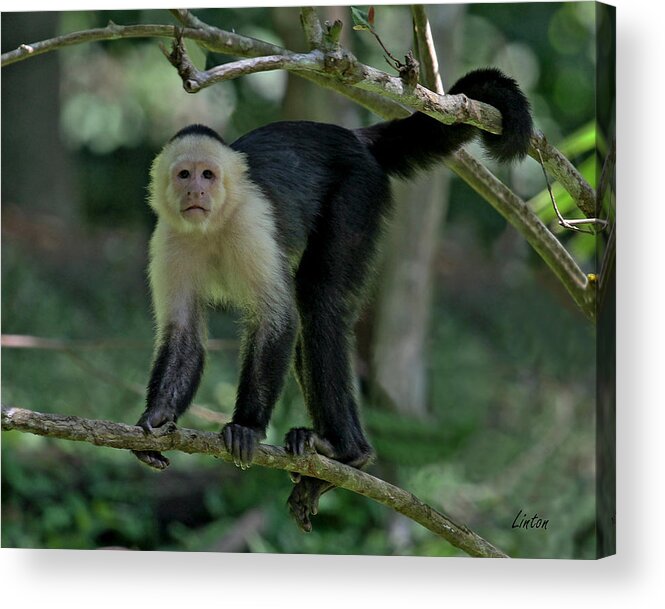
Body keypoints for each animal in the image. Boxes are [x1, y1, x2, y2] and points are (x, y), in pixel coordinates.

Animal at [134, 67, 536, 532]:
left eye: (208, 175)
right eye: (184, 175)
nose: (196, 193)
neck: (212, 225)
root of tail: (354, 136)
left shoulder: (252, 223)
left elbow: (277, 321)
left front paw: (247, 426)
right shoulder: (168, 241)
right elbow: (183, 333)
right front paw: (157, 419)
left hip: (358, 189)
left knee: (317, 302)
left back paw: (347, 453)